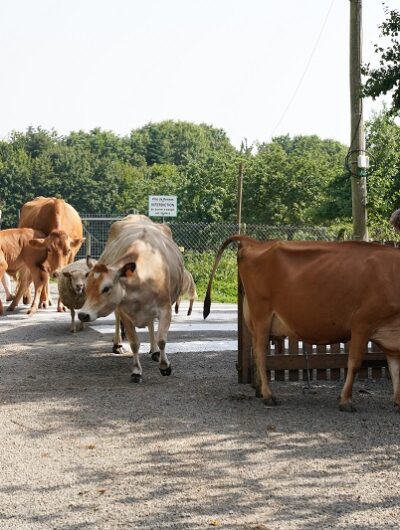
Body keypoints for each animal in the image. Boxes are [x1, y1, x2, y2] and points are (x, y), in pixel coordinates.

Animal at [205, 235, 400, 412]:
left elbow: (395, 369)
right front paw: (346, 401)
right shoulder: (361, 323)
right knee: (260, 354)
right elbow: (354, 363)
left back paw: (260, 391)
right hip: (261, 313)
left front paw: (398, 402)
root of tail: (254, 242)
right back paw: (268, 395)